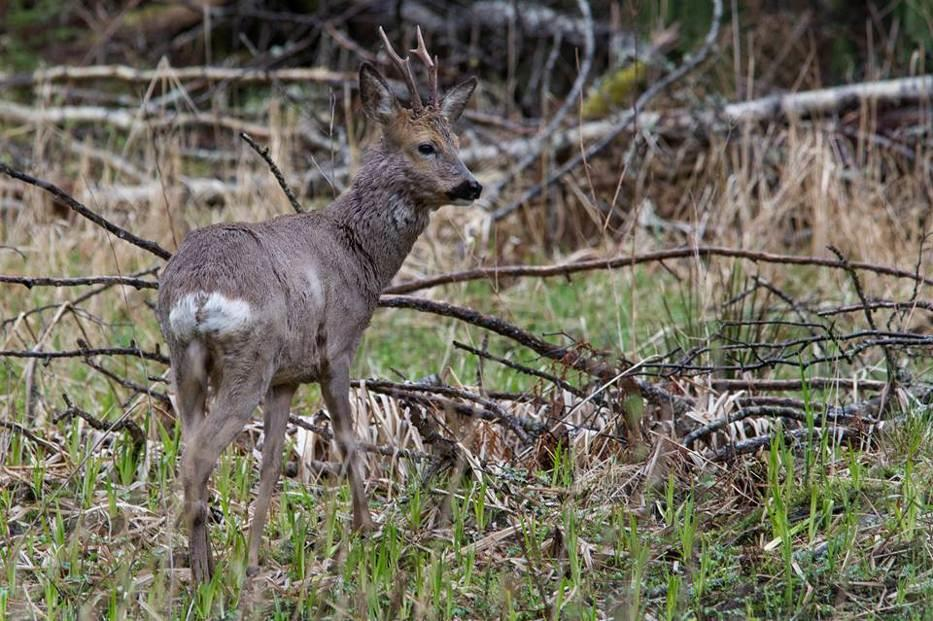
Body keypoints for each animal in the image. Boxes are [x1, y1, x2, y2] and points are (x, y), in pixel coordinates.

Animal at [157, 26, 480, 584]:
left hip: (187, 361)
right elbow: (350, 442)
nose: (472, 185)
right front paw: (367, 534)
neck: (358, 252)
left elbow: (269, 464)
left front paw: (254, 556)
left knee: (190, 450)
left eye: (456, 142)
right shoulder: (337, 348)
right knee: (196, 458)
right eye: (427, 146)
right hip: (248, 358)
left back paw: (206, 567)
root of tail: (197, 293)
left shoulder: (287, 376)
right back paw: (204, 576)